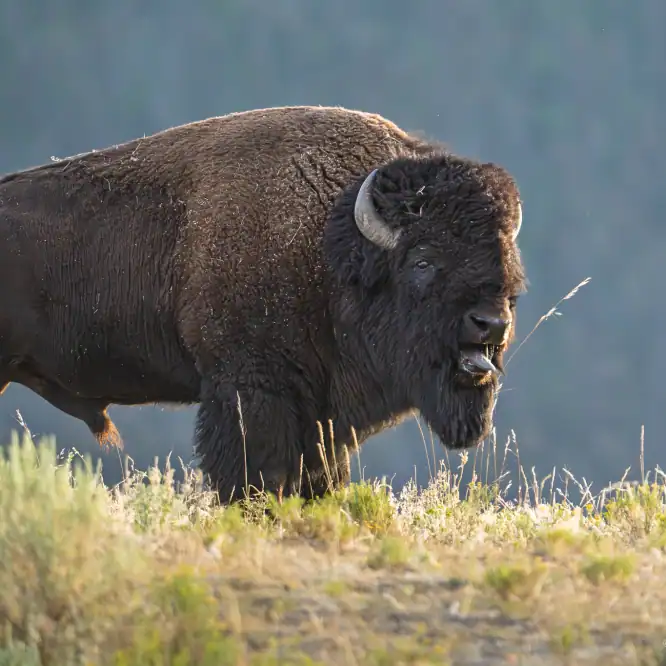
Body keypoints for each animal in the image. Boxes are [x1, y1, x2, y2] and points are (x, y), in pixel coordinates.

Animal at [0, 105, 527, 503]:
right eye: (422, 261)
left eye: (508, 268)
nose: (490, 323)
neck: (328, 243)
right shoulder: (250, 391)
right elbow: (256, 476)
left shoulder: (320, 419)